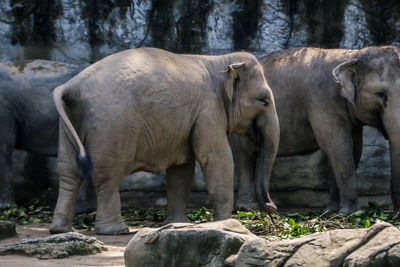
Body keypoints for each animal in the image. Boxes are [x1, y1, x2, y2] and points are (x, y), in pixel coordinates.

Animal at [50, 47, 280, 236]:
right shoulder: (208, 109)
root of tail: (71, 87)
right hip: (110, 126)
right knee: (107, 175)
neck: (220, 61)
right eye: (263, 100)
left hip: (69, 125)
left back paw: (61, 229)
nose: (272, 209)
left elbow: (182, 168)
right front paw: (225, 223)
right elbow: (216, 157)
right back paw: (116, 230)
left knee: (69, 172)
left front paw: (178, 224)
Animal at [233, 45, 400, 215]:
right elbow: (338, 146)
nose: (395, 210)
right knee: (245, 155)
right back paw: (248, 208)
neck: (351, 56)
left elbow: (354, 149)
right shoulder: (322, 101)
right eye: (380, 94)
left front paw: (332, 210)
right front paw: (349, 212)